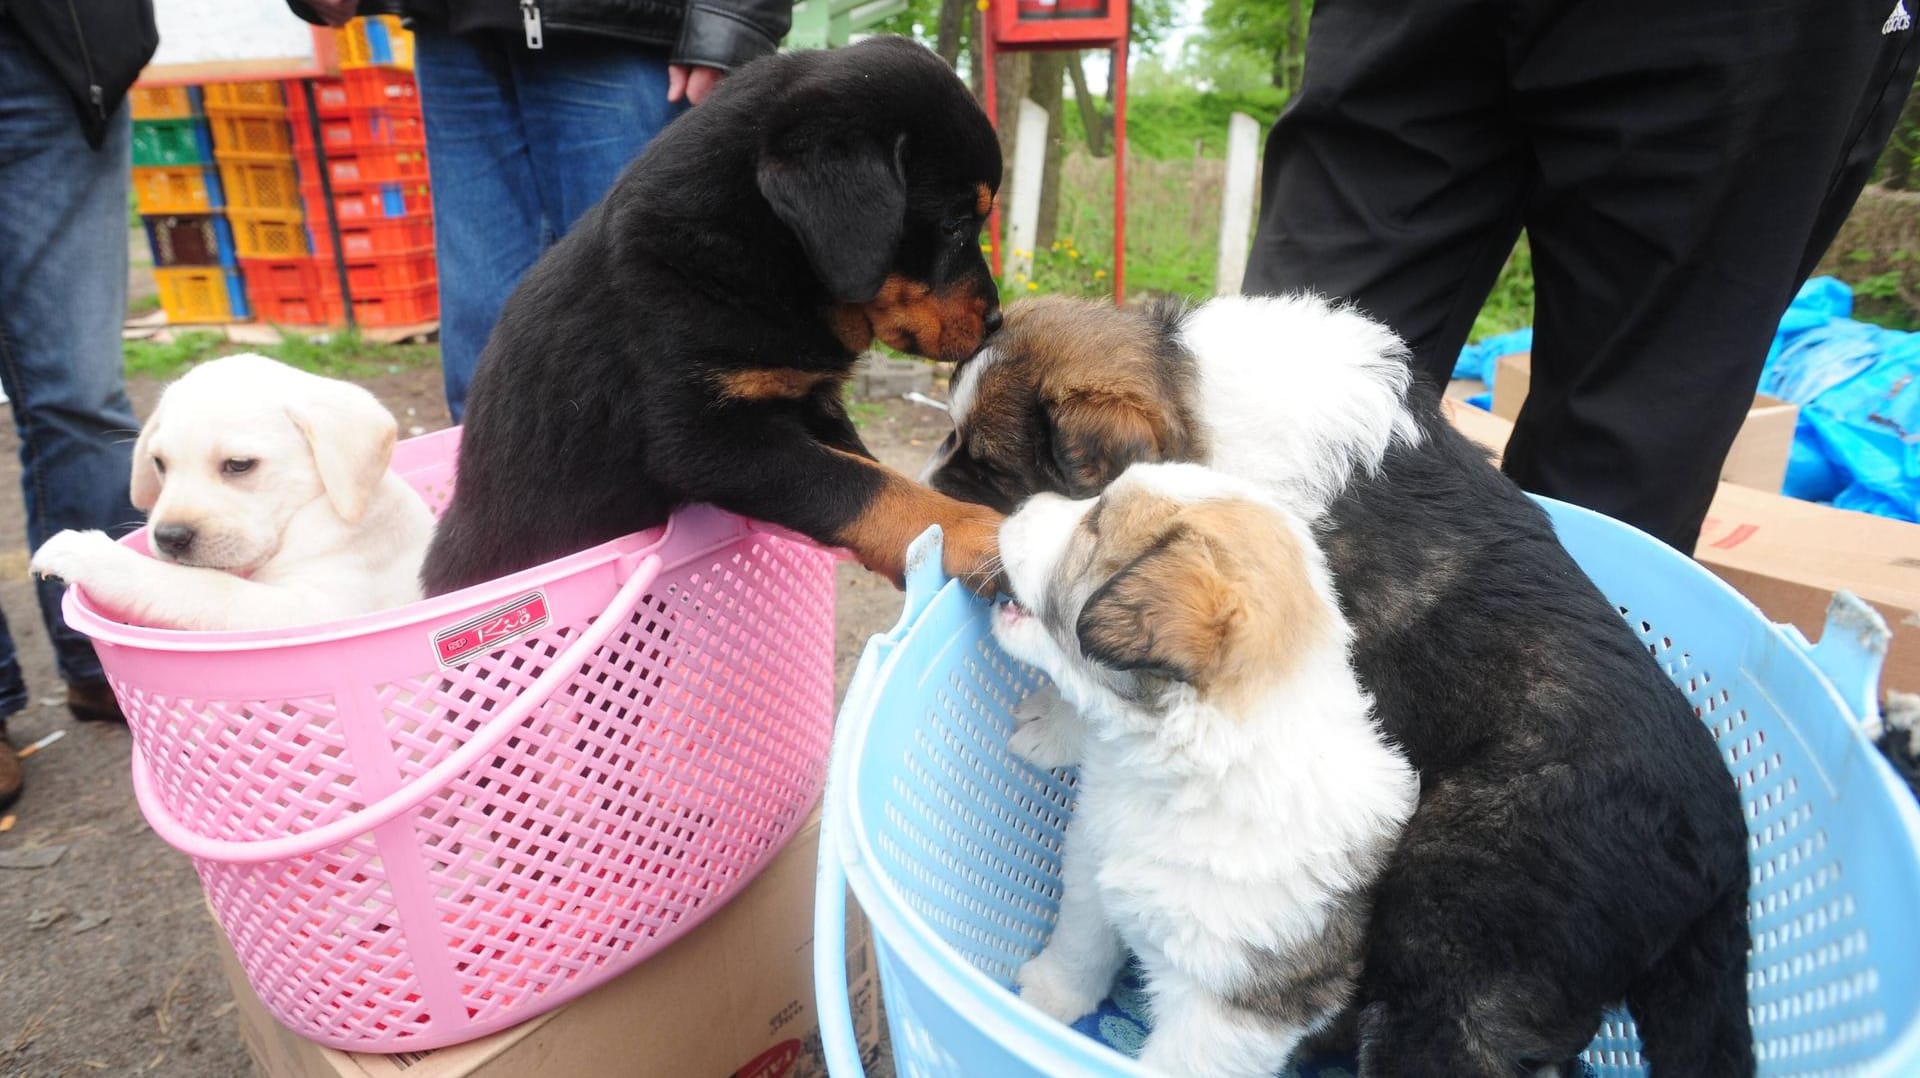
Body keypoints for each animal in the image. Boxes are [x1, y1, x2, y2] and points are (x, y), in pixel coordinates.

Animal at [32, 351, 435, 630]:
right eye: (159, 463)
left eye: (239, 464)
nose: (169, 537)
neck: (308, 514)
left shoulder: (309, 612)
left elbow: (199, 586)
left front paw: (85, 553)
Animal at [424, 37, 1006, 595]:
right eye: (954, 224)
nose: (996, 320)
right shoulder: (705, 438)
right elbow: (857, 483)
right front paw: (972, 530)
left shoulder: (806, 402)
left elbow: (864, 463)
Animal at [990, 461, 1413, 1076]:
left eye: (1094, 524)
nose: (1021, 503)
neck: (1182, 778)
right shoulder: (1091, 863)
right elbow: (1081, 940)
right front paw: (1049, 997)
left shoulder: (1226, 1014)